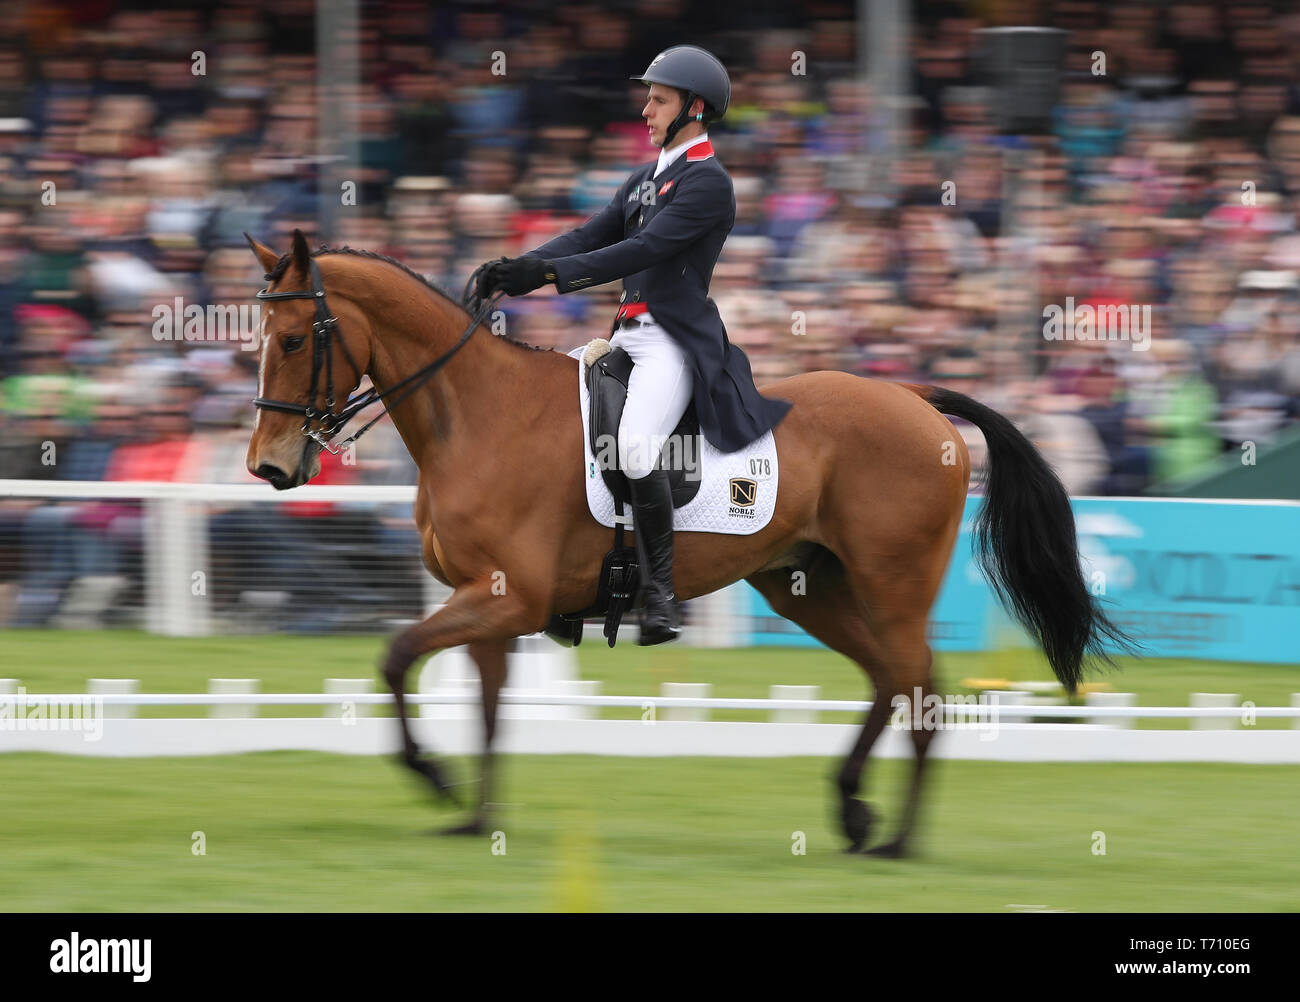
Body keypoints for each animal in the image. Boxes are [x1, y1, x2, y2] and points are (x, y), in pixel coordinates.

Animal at [241, 231, 1128, 857]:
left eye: (294, 341)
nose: (270, 467)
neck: (477, 413)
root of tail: (913, 396)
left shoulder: (507, 598)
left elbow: (396, 658)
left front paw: (430, 775)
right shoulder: (488, 603)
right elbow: (486, 710)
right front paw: (473, 817)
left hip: (892, 582)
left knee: (918, 685)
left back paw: (899, 839)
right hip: (806, 587)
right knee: (887, 677)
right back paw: (853, 809)